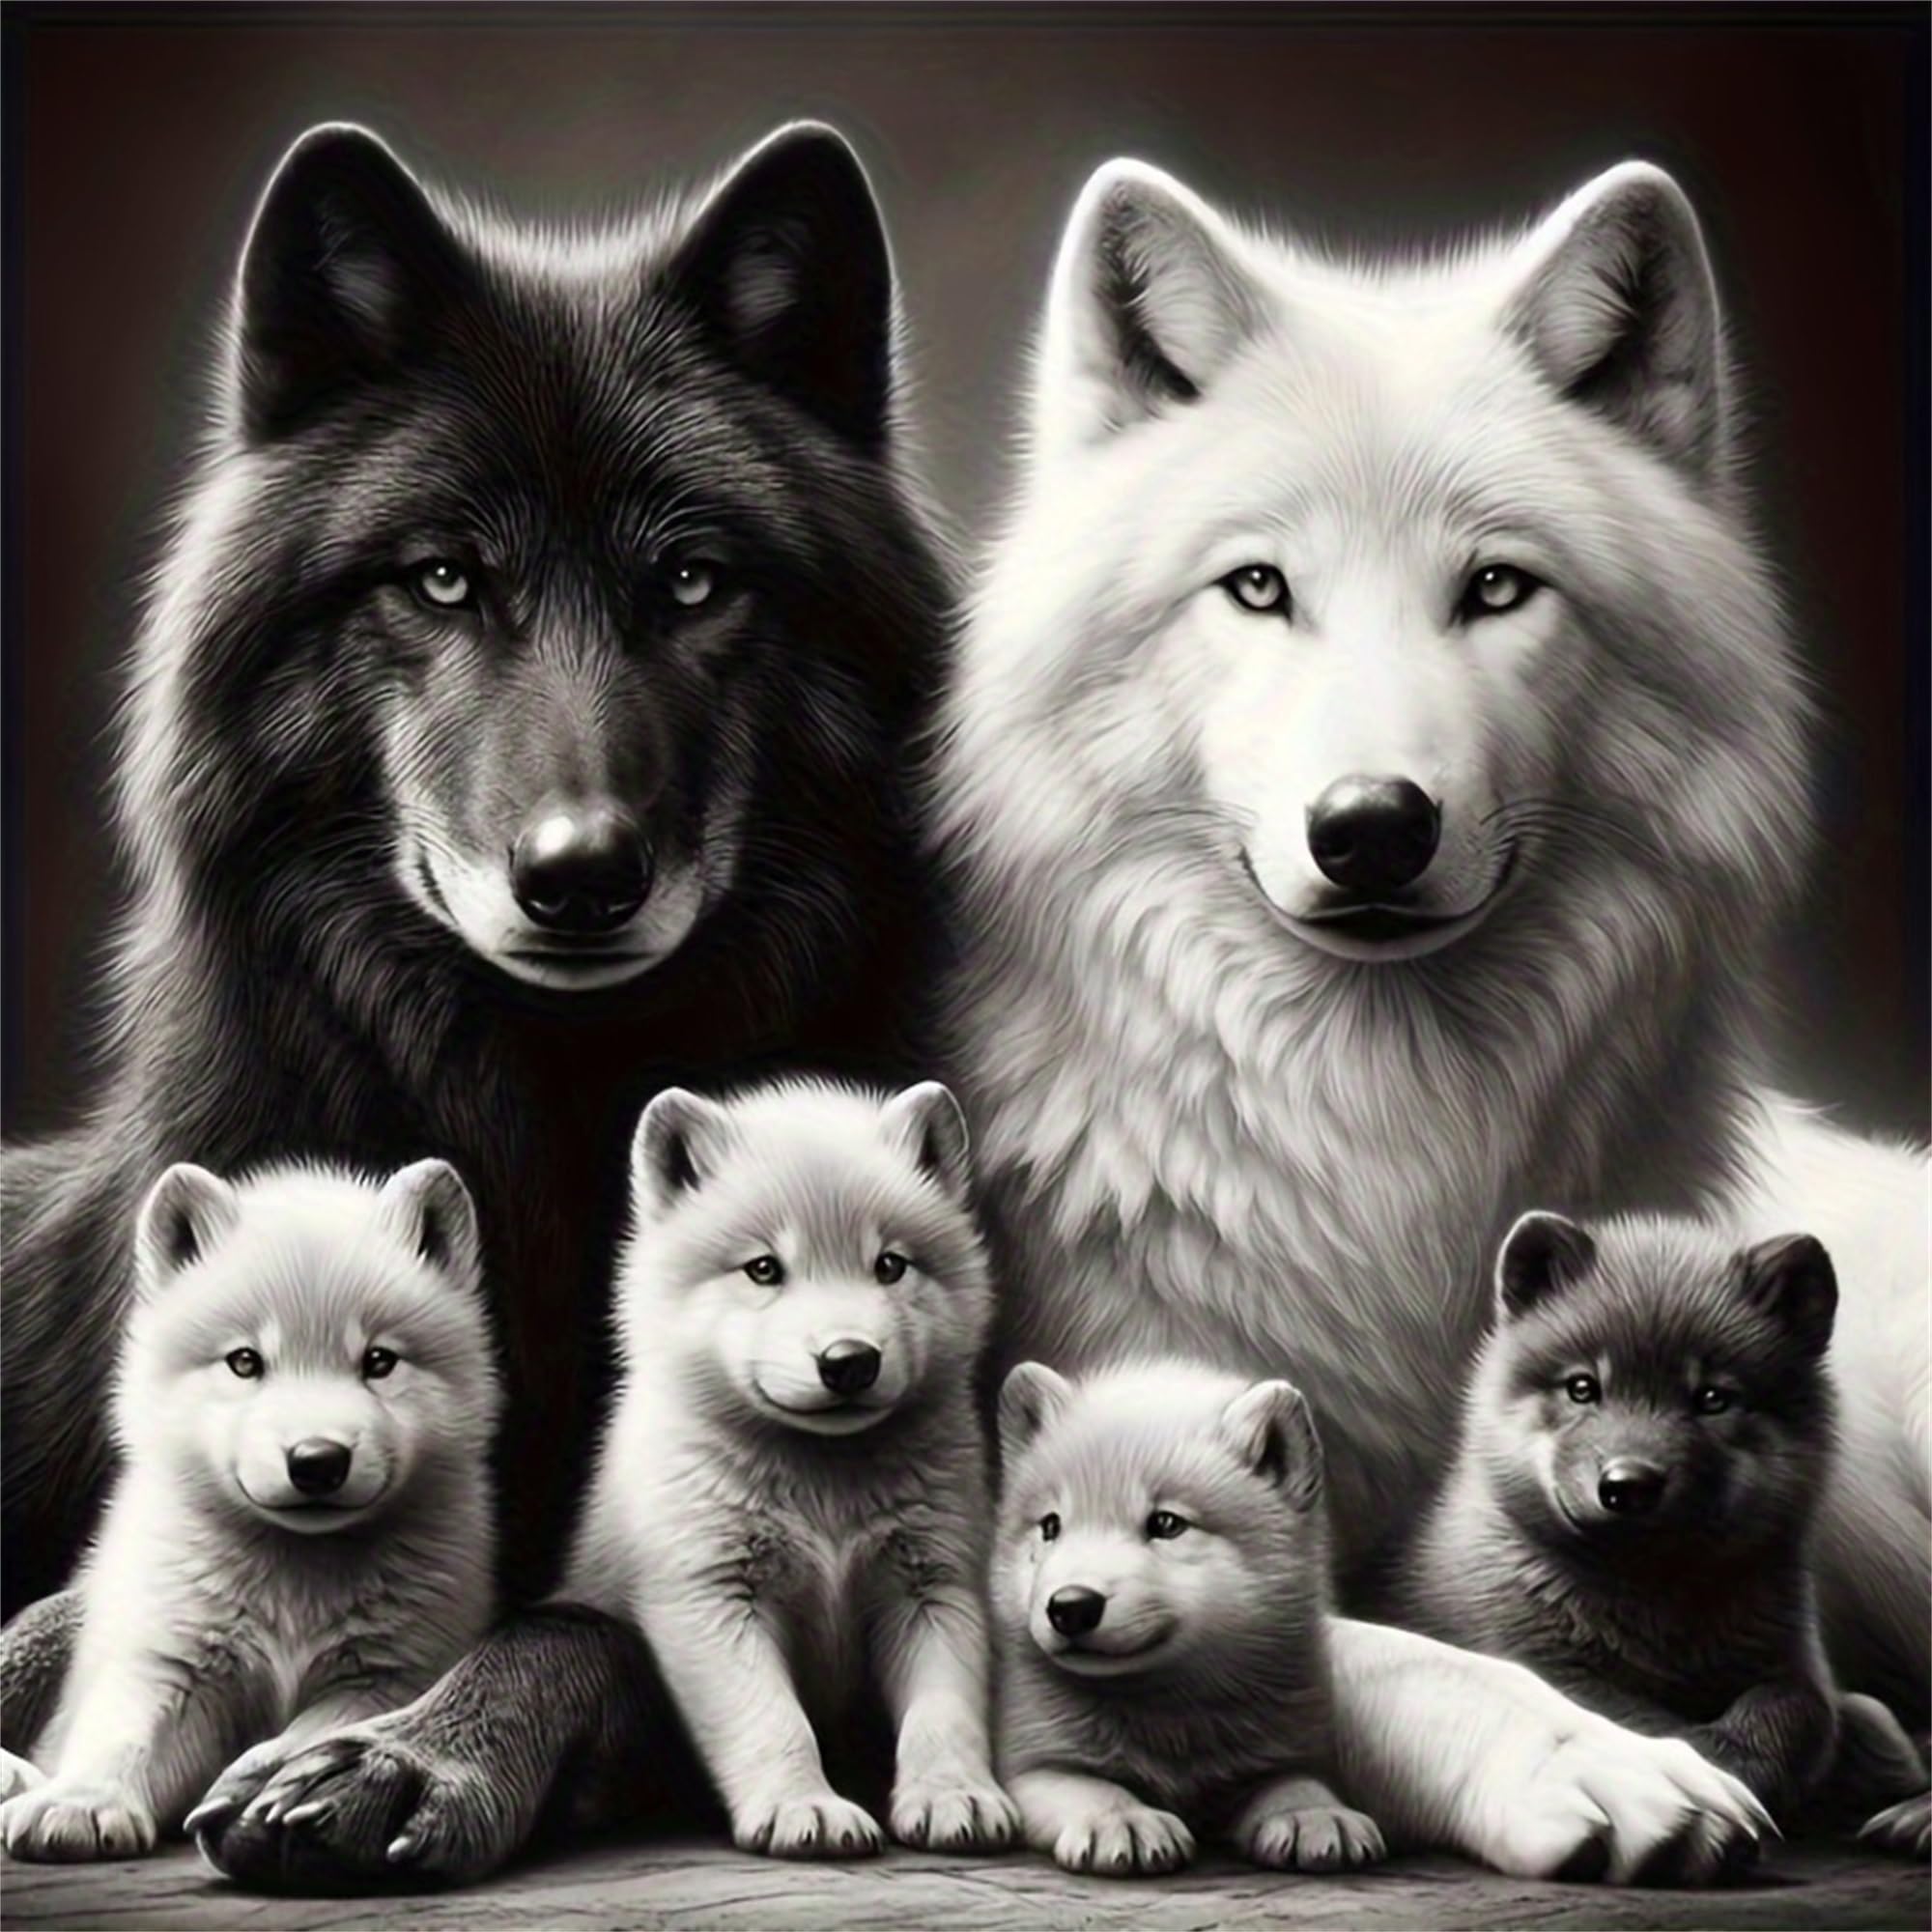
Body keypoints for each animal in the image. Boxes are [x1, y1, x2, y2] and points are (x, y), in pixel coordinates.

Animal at [0, 1158, 497, 1861]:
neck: (296, 1580)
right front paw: (79, 1805)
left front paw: (264, 1781)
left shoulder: (389, 1672)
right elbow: (121, 1733)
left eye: (378, 1361)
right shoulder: (169, 1663)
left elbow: (317, 1729)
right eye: (244, 1362)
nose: (317, 1460)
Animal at [562, 1079, 1015, 1858]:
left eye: (889, 1264)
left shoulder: (934, 1585)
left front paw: (955, 1796)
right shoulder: (711, 1597)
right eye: (764, 1269)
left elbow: (944, 1711)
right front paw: (805, 1808)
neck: (822, 1486)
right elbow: (772, 1719)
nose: (849, 1360)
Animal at [993, 1360, 1384, 1877]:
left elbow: (1295, 1780)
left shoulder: (1282, 1743)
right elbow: (1087, 1785)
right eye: (1051, 1526)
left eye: (1166, 1524)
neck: (1167, 1713)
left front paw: (1315, 1816)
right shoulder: (1028, 1757)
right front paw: (1126, 1822)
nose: (1070, 1606)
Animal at [1402, 1210, 1926, 1845]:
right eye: (1582, 1388)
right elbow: (1631, 1717)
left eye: (1712, 1398)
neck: (1657, 1604)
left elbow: (1793, 1710)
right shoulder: (1530, 1657)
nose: (1628, 1484)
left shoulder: (1796, 1663)